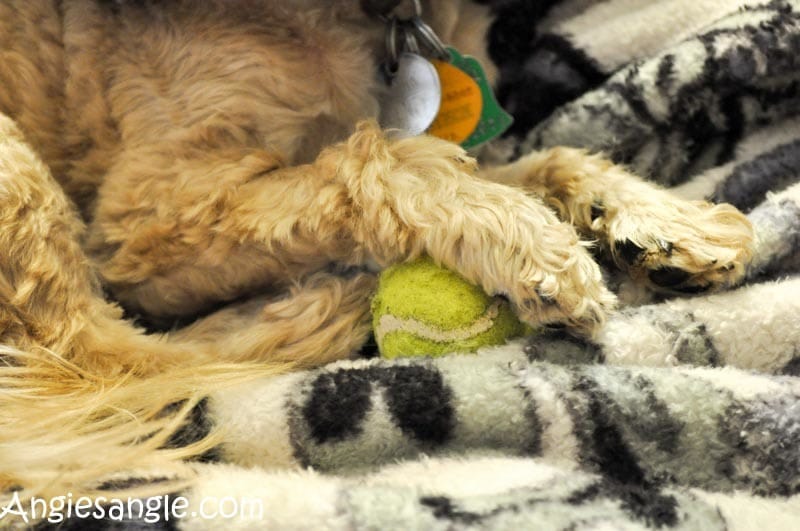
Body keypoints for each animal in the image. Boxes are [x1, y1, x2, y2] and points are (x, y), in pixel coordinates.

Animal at [0, 0, 752, 508]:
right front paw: (531, 242)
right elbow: (379, 159)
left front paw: (664, 220)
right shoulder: (150, 222)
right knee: (103, 360)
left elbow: (542, 160)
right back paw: (321, 306)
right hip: (18, 166)